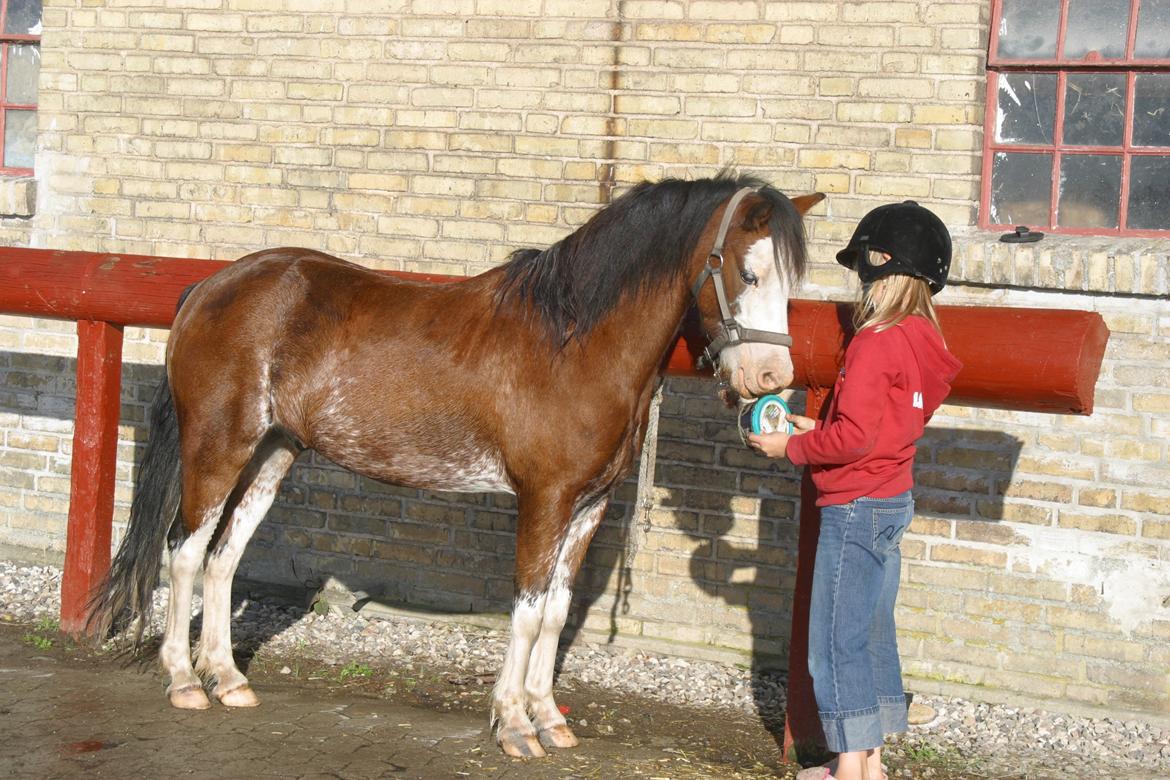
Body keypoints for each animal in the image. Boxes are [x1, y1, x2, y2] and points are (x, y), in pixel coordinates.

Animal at [87, 174, 823, 758]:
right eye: (748, 273)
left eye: (794, 284)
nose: (770, 381)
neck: (575, 342)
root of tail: (210, 286)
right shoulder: (545, 498)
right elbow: (527, 611)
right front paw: (514, 725)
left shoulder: (590, 506)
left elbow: (557, 612)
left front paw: (549, 718)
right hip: (218, 447)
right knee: (185, 552)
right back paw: (185, 681)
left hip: (273, 453)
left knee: (224, 557)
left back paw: (229, 680)